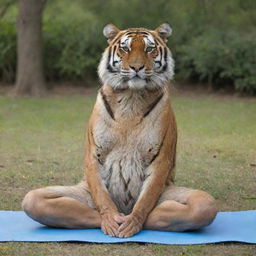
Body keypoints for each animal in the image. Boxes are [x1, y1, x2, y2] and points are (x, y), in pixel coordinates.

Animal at [22, 23, 218, 237]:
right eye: (125, 48)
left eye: (149, 48)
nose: (137, 67)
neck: (131, 97)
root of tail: (124, 208)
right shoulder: (94, 154)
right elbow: (100, 193)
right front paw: (109, 220)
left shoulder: (161, 158)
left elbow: (147, 199)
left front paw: (133, 221)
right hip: (74, 194)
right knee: (37, 199)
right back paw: (115, 219)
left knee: (199, 205)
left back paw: (130, 219)